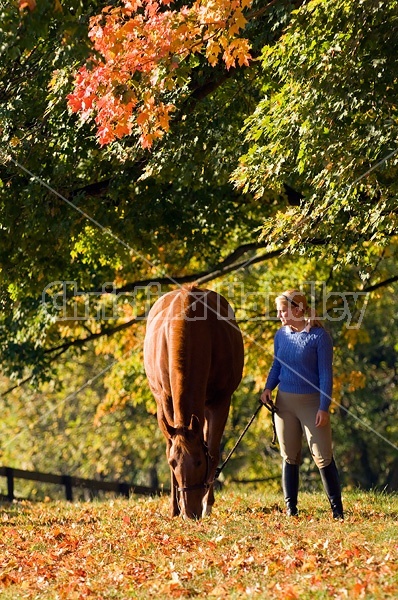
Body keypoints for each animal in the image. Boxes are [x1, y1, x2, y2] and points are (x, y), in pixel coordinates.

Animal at [143, 284, 243, 516]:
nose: (190, 512)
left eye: (198, 462)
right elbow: (169, 445)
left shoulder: (220, 401)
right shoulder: (166, 402)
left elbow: (213, 451)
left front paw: (207, 503)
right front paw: (174, 507)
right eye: (173, 464)